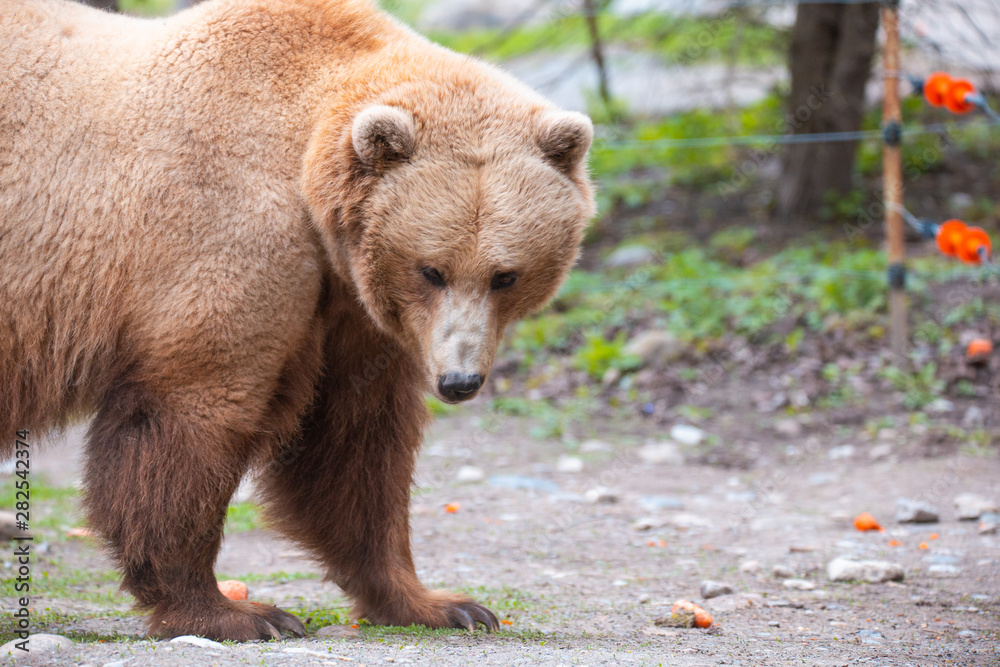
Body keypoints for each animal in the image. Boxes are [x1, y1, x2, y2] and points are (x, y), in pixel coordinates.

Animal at [0, 0, 594, 642]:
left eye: (505, 275)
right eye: (431, 269)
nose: (459, 381)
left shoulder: (348, 304)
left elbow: (355, 443)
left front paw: (439, 603)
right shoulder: (230, 236)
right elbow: (195, 414)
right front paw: (234, 612)